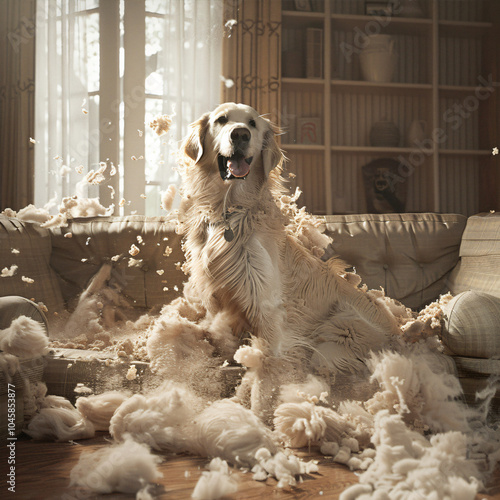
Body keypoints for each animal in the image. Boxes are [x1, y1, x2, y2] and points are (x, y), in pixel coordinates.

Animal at [147, 101, 402, 418]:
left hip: (338, 332)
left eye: (253, 124)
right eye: (222, 120)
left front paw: (257, 415)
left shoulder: (268, 308)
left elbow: (264, 371)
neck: (229, 211)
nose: (240, 135)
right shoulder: (217, 300)